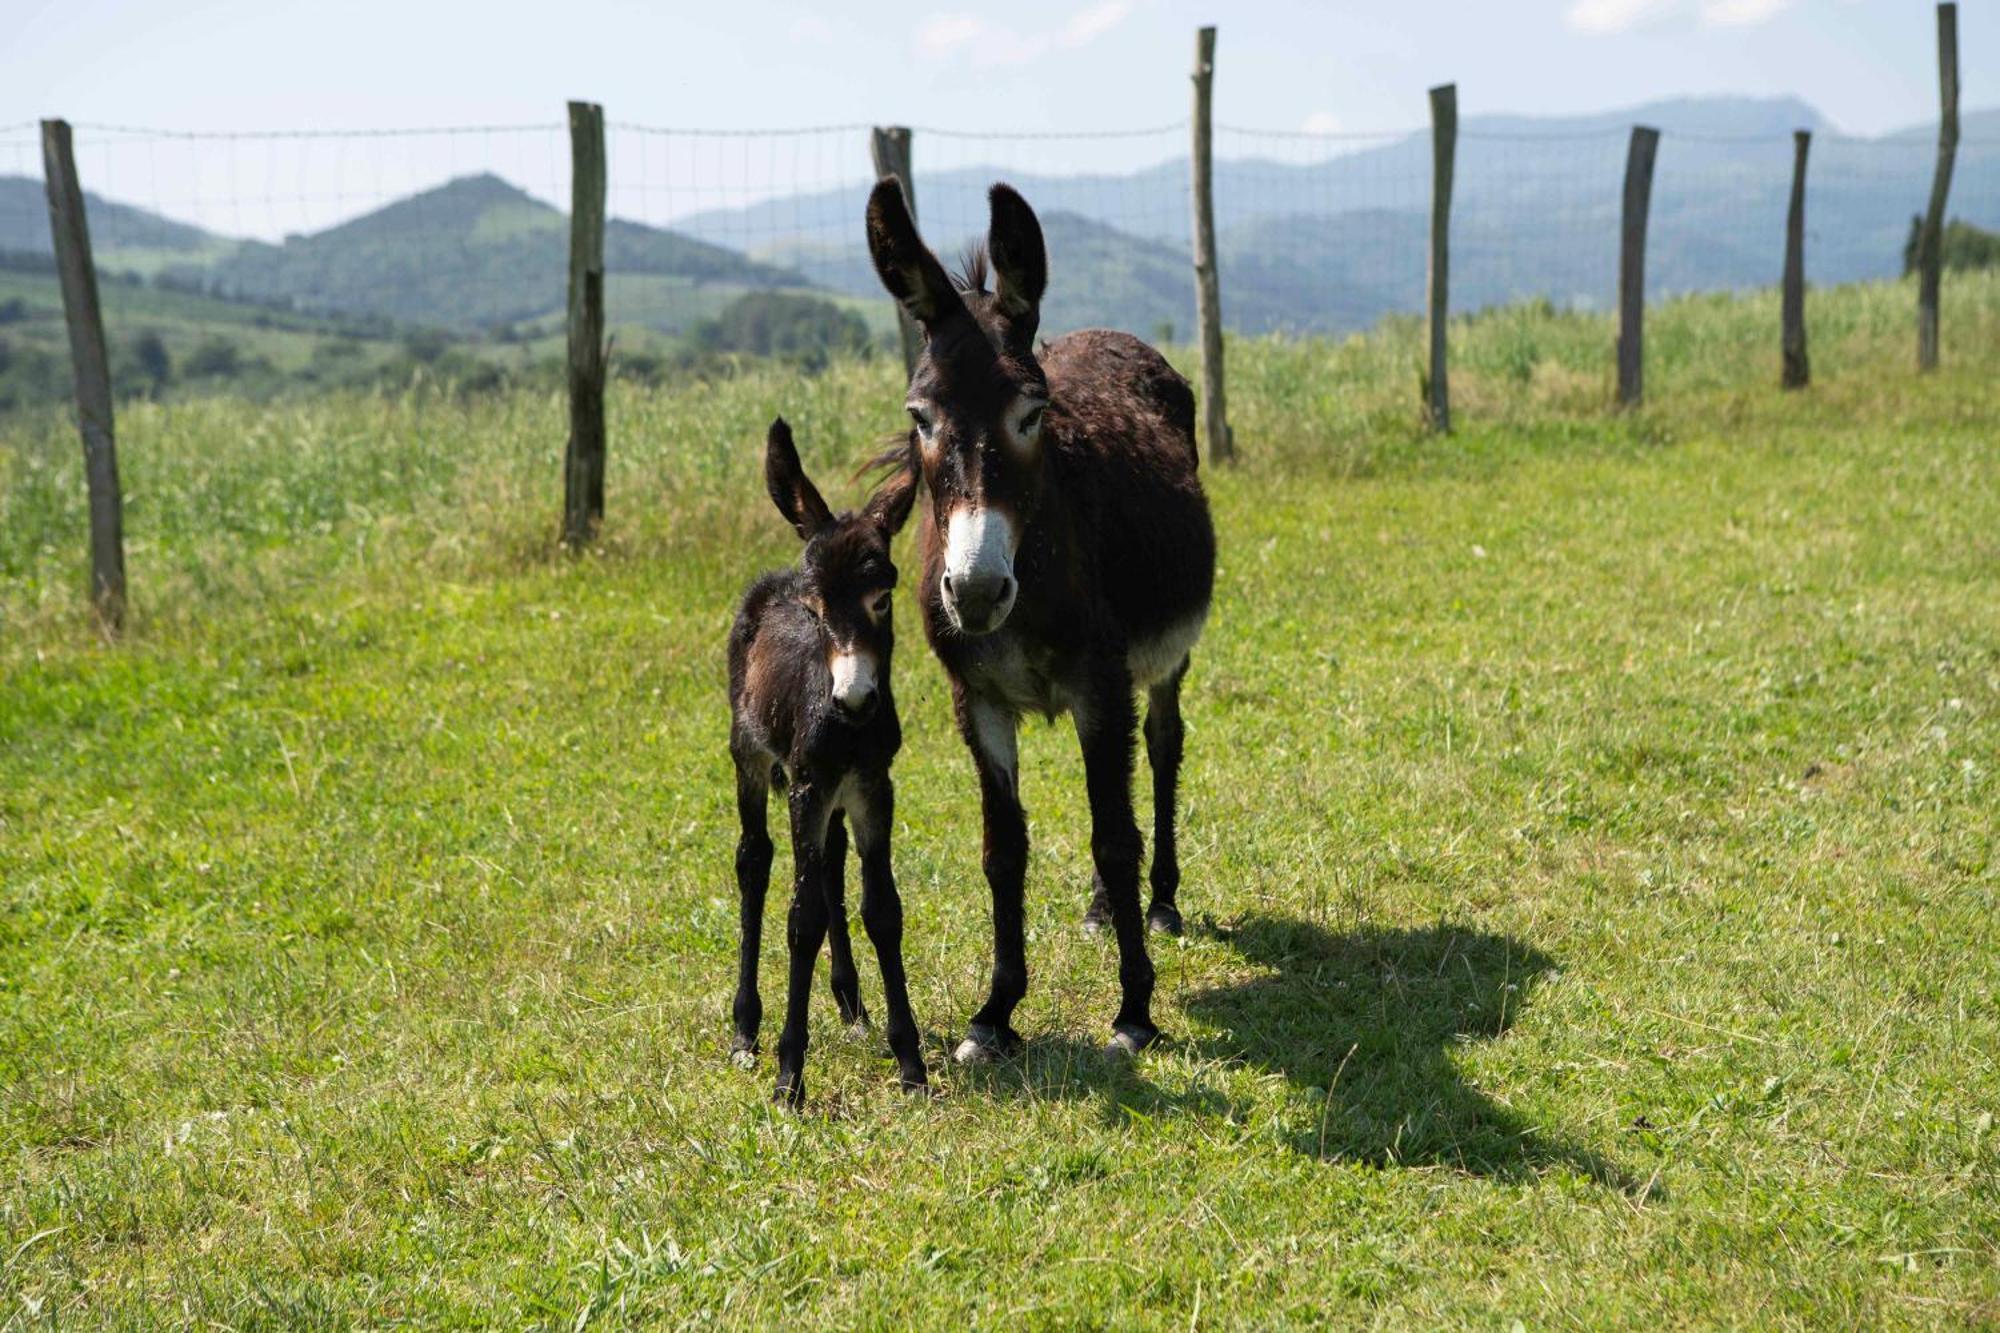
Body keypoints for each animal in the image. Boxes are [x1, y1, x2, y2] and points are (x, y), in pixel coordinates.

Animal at [732, 416, 924, 1096]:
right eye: (815, 612)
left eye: (882, 599)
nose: (855, 700)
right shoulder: (808, 787)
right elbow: (802, 919)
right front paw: (790, 1073)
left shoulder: (871, 787)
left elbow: (883, 910)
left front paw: (910, 1059)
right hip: (752, 759)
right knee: (755, 862)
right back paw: (745, 1029)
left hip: (833, 797)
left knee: (831, 865)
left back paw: (852, 1004)